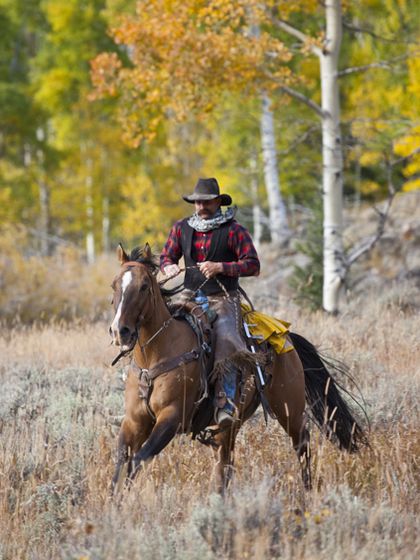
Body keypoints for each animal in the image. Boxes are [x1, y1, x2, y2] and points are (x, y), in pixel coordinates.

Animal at [108, 245, 368, 494]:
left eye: (144, 286)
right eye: (114, 285)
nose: (120, 331)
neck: (156, 355)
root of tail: (286, 338)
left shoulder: (171, 418)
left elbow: (137, 460)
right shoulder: (134, 421)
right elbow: (120, 465)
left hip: (290, 409)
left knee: (301, 444)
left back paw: (308, 493)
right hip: (230, 426)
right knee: (225, 466)